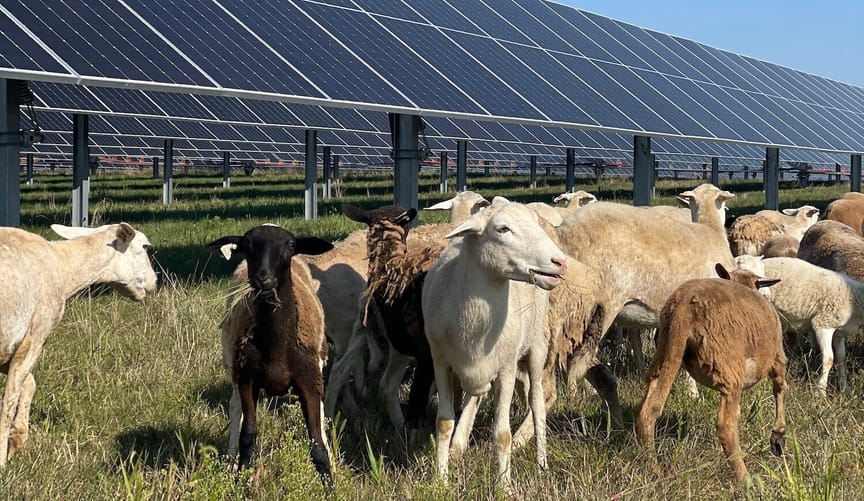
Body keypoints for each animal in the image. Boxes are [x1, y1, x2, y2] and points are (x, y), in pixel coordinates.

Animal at [0, 223, 157, 465]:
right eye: (145, 247)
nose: (155, 282)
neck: (64, 267)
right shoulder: (34, 337)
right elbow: (8, 405)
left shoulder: (7, 351)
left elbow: (29, 383)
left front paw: (17, 438)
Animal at [206, 225, 334, 484]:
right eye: (246, 245)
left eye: (290, 246)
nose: (263, 279)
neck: (276, 348)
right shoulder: (247, 381)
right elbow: (247, 437)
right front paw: (239, 482)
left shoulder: (309, 382)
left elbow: (317, 446)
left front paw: (330, 485)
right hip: (234, 368)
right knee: (235, 409)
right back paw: (230, 461)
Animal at [422, 199, 567, 486]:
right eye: (502, 229)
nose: (560, 262)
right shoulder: (440, 362)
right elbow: (444, 423)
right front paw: (441, 480)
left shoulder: (507, 369)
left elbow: (502, 434)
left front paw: (504, 486)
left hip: (537, 345)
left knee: (537, 402)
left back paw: (542, 463)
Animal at [636, 263, 786, 482]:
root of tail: (684, 308)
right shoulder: (777, 357)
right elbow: (780, 387)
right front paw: (778, 437)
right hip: (728, 368)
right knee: (726, 424)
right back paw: (745, 478)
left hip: (665, 352)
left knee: (648, 407)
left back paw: (652, 468)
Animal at [759, 256, 864, 393]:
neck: (855, 298)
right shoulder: (823, 324)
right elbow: (829, 359)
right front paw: (821, 390)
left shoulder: (839, 332)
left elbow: (841, 358)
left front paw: (845, 389)